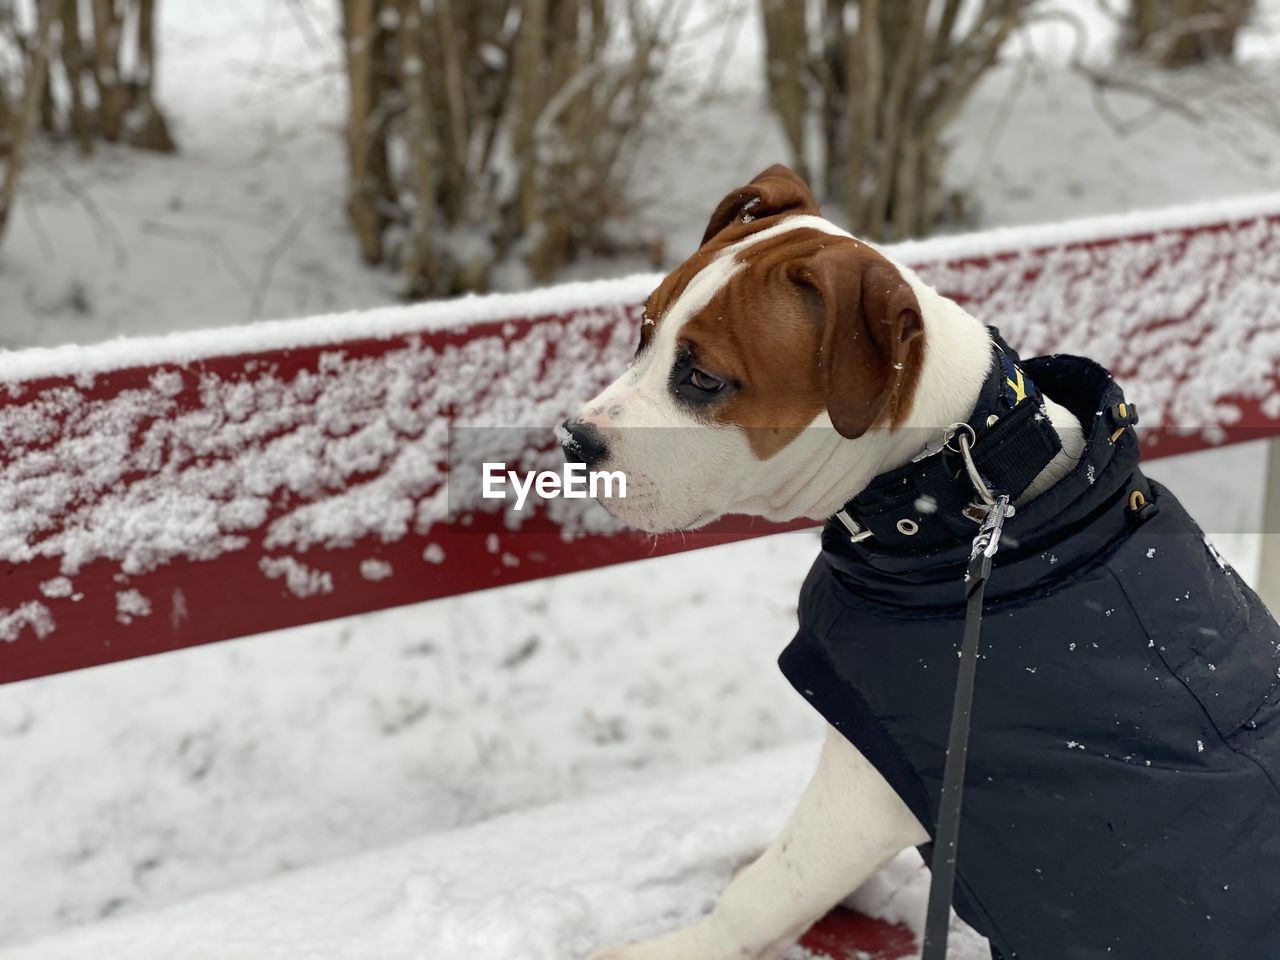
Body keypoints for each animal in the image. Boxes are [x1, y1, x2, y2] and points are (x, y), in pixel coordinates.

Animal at [560, 167, 1280, 960]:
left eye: (704, 380)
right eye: (643, 334)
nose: (573, 441)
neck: (966, 477)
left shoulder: (872, 782)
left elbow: (770, 888)